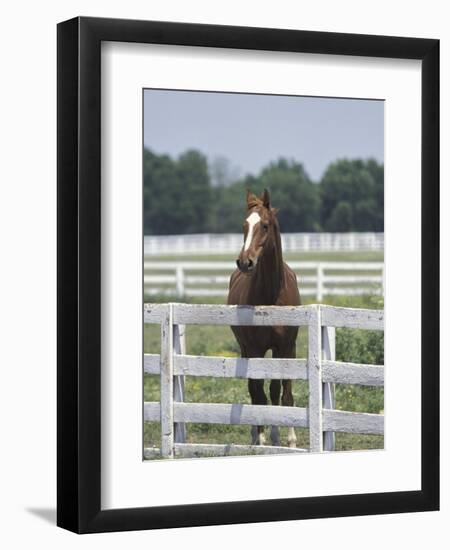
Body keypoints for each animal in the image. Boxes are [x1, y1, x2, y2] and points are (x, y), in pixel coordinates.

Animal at [227, 190, 300, 448]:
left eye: (265, 225)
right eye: (244, 225)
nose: (244, 262)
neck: (272, 294)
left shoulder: (287, 347)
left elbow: (285, 393)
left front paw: (291, 440)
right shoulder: (255, 348)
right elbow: (258, 393)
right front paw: (260, 438)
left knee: (275, 389)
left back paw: (276, 435)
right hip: (246, 349)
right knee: (254, 389)